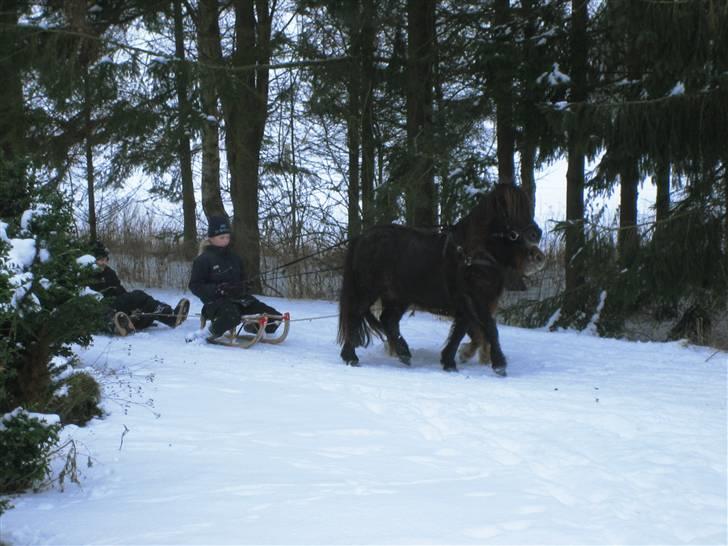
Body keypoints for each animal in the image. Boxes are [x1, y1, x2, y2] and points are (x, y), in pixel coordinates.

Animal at [338, 183, 544, 374]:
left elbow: (462, 330)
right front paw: (499, 364)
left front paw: (450, 361)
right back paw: (351, 357)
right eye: (507, 210)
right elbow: (489, 328)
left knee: (388, 320)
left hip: (397, 296)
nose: (537, 234)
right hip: (367, 291)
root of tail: (362, 237)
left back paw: (403, 353)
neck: (473, 255)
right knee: (355, 315)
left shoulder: (469, 303)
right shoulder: (474, 300)